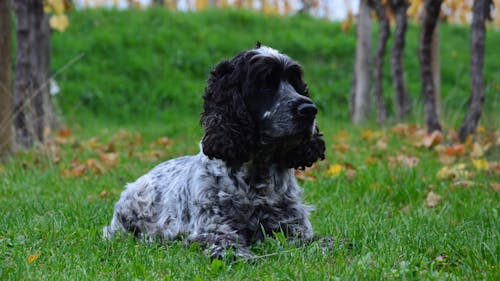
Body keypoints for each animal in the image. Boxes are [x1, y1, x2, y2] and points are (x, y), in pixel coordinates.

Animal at [103, 43, 326, 258]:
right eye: (264, 84)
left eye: (295, 83)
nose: (309, 109)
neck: (258, 171)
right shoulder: (213, 228)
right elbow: (227, 247)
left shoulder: (292, 225)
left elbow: (320, 242)